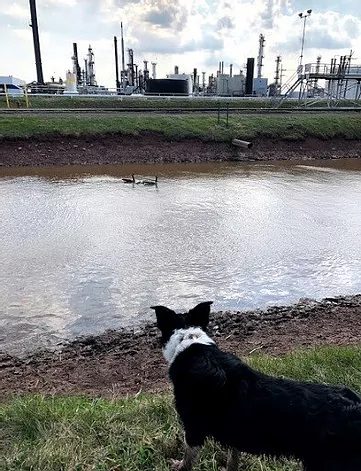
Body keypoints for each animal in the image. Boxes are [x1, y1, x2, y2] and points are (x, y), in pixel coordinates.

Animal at [151, 302, 360, 471]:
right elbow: (232, 459)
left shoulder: (193, 426)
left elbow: (187, 460)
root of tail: (356, 406)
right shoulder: (234, 432)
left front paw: (178, 466)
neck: (191, 342)